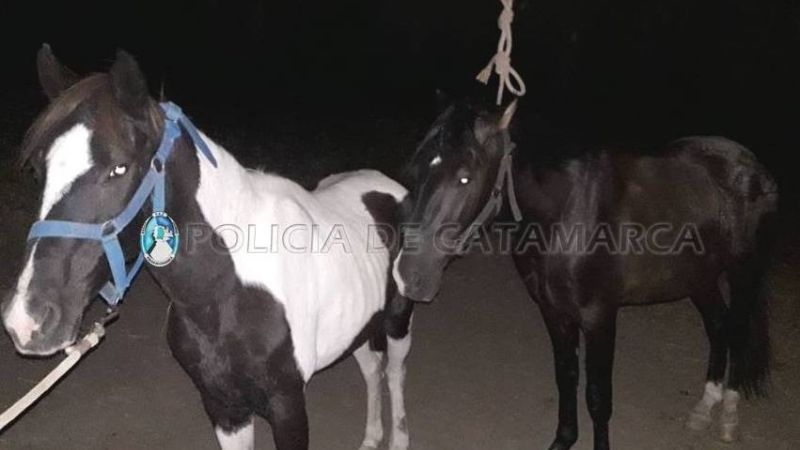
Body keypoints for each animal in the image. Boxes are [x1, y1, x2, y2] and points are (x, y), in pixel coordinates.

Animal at [1, 46, 415, 450]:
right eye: (38, 169)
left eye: (120, 167)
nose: (27, 320)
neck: (227, 290)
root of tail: (389, 187)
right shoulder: (223, 406)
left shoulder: (288, 405)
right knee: (371, 370)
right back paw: (371, 439)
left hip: (398, 321)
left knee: (393, 374)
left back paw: (397, 439)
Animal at [392, 99, 779, 450]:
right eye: (418, 168)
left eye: (465, 177)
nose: (411, 275)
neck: (568, 213)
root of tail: (752, 166)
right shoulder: (553, 312)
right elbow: (566, 378)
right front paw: (564, 440)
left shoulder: (599, 317)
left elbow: (597, 396)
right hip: (699, 279)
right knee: (718, 327)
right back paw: (704, 407)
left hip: (743, 273)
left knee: (737, 331)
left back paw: (729, 416)